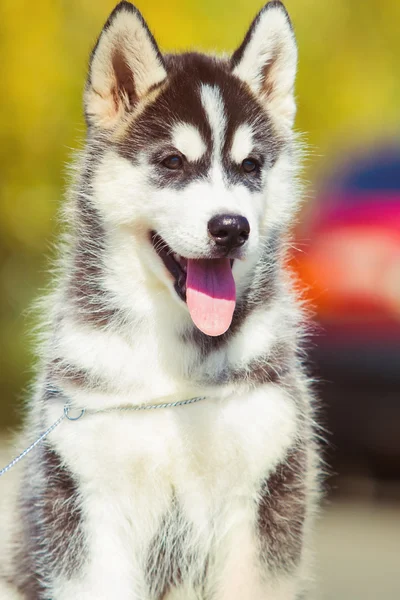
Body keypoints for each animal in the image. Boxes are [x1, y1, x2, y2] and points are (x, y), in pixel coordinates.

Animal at [0, 1, 318, 600]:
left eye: (250, 166)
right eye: (172, 162)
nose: (231, 228)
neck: (174, 376)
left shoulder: (260, 504)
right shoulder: (88, 504)